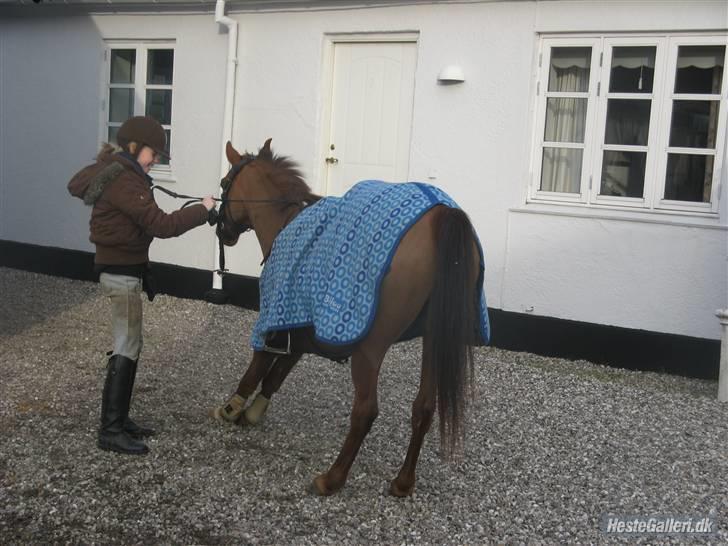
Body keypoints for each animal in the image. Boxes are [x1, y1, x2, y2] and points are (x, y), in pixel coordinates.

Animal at [213, 138, 486, 496]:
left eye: (223, 183)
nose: (221, 230)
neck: (286, 221)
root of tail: (440, 212)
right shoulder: (299, 326)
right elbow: (276, 375)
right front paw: (253, 411)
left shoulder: (274, 320)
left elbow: (256, 369)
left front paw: (232, 409)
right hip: (433, 339)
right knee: (424, 407)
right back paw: (403, 481)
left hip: (371, 348)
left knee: (366, 411)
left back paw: (333, 477)